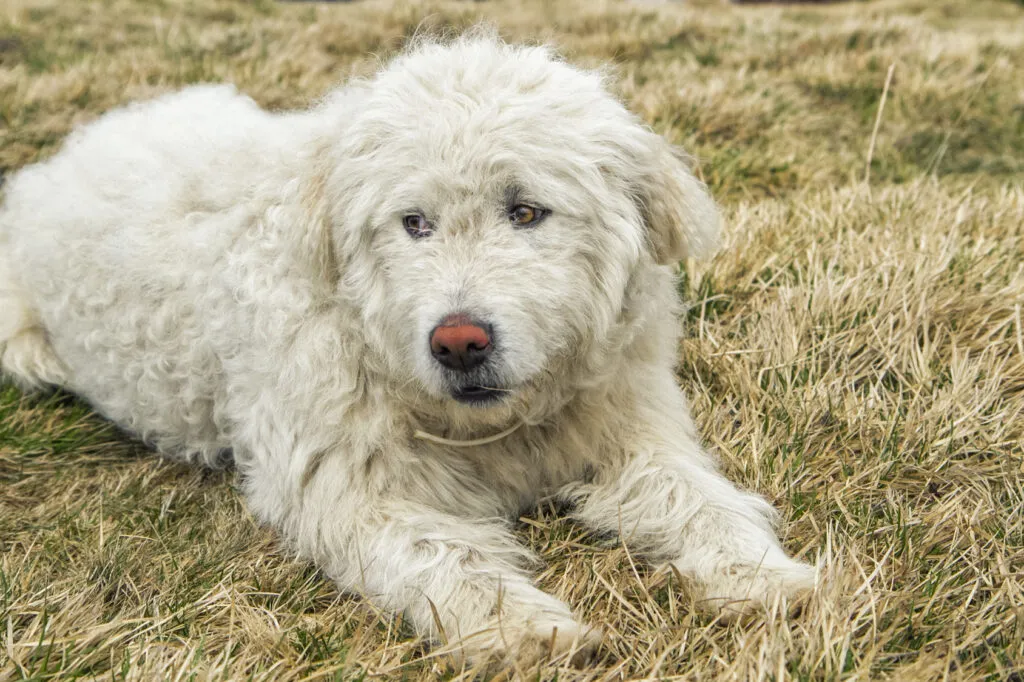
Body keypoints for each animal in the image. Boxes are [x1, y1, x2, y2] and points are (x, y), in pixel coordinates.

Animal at [2, 35, 815, 663]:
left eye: (525, 211)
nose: (458, 343)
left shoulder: (629, 431)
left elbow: (697, 499)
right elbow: (448, 554)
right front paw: (522, 630)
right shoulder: (350, 490)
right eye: (413, 222)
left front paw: (762, 575)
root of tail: (74, 148)